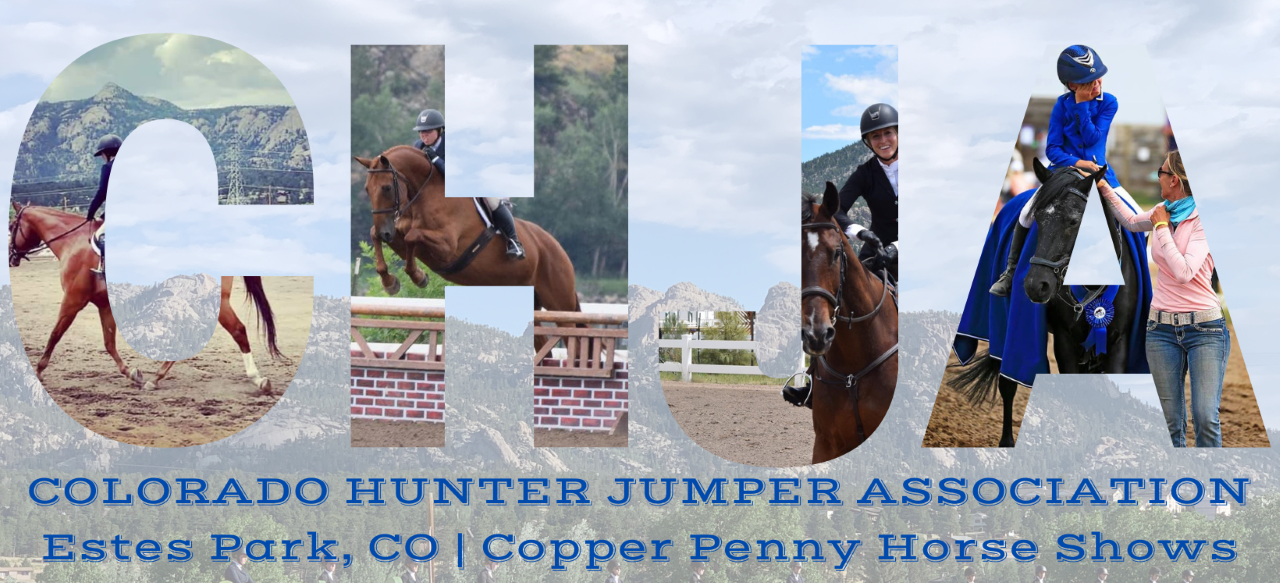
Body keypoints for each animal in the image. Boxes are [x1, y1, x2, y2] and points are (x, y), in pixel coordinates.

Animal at [10, 203, 282, 394]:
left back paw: (259, 379)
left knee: (237, 330)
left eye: (12, 226)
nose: (11, 257)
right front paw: (133, 373)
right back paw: (155, 379)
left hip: (210, 301)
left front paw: (38, 372)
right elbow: (109, 343)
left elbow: (55, 334)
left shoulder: (73, 301)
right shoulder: (104, 304)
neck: (74, 242)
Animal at [353, 146, 578, 315]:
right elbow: (377, 234)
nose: (385, 232)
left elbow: (412, 237)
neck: (425, 194)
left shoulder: (447, 248)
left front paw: (418, 277)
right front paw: (389, 281)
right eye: (366, 190)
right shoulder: (398, 234)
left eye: (386, 188)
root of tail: (559, 247)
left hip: (560, 301)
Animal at [952, 159, 1141, 448]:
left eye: (1075, 221)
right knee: (1007, 384)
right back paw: (1006, 441)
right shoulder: (1064, 340)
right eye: (1038, 220)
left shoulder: (1118, 339)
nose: (1035, 285)